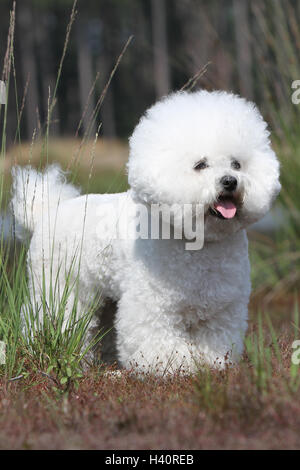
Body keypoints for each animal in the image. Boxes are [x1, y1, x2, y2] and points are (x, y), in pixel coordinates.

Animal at [9, 89, 282, 374]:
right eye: (200, 165)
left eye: (237, 164)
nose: (230, 181)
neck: (197, 242)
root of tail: (48, 212)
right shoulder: (152, 306)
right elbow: (159, 343)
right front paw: (176, 366)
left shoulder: (221, 310)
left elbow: (215, 341)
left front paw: (210, 365)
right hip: (58, 287)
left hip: (106, 298)